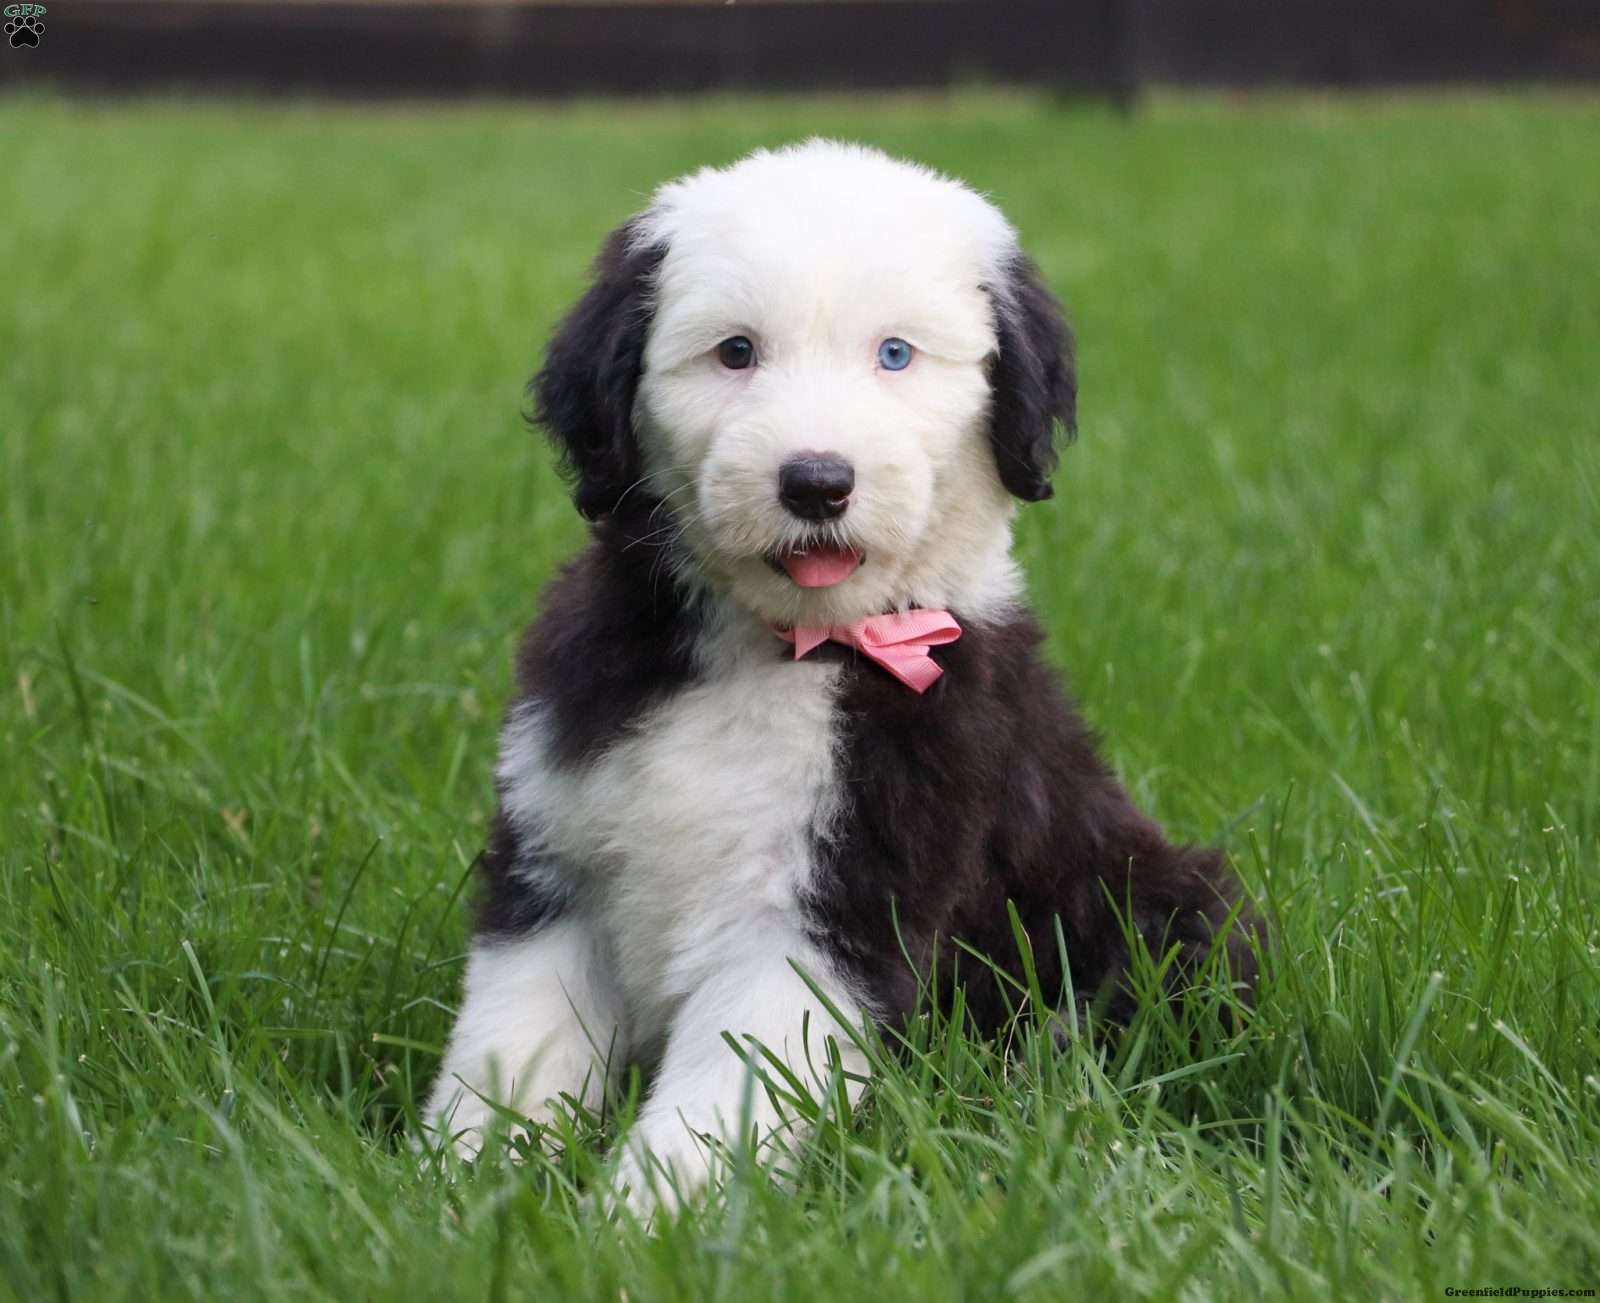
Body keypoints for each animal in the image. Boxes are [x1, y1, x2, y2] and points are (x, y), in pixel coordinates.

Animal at [432, 140, 1254, 1216]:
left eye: (895, 354)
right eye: (735, 352)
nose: (817, 481)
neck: (784, 652)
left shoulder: (832, 908)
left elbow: (722, 1095)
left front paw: (643, 1221)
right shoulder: (558, 866)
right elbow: (510, 1047)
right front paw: (459, 1188)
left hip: (1161, 904)